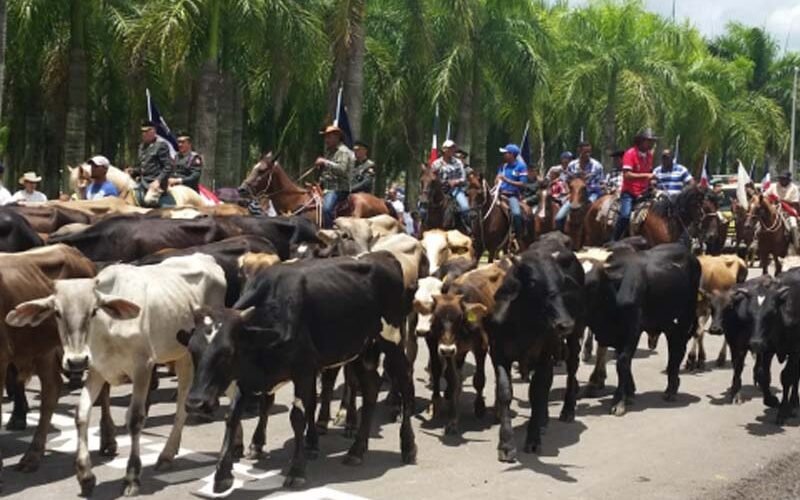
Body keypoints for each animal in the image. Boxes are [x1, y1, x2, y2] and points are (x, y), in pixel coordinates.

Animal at [6, 256, 227, 498]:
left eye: (94, 311)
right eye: (57, 313)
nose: (75, 361)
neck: (108, 331)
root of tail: (206, 258)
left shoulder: (143, 367)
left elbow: (135, 420)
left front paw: (132, 477)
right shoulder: (96, 370)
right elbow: (81, 414)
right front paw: (85, 476)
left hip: (191, 357)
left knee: (184, 404)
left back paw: (169, 454)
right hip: (179, 355)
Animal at [484, 238, 584, 460]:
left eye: (561, 282)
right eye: (533, 282)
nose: (564, 324)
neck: (522, 323)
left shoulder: (543, 355)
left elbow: (536, 393)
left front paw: (533, 440)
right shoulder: (498, 354)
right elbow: (505, 392)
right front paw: (506, 444)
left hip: (574, 336)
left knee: (571, 368)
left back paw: (567, 410)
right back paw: (544, 420)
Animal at [580, 244, 700, 416]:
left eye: (593, 284)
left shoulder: (633, 330)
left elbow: (622, 362)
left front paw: (619, 401)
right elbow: (625, 363)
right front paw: (629, 393)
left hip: (684, 319)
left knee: (677, 351)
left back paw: (671, 390)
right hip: (669, 323)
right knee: (674, 348)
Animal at [748, 268, 800, 424]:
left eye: (771, 312)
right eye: (749, 312)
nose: (755, 343)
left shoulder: (795, 350)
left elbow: (787, 376)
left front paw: (784, 410)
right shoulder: (767, 348)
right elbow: (762, 374)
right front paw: (770, 400)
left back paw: (793, 403)